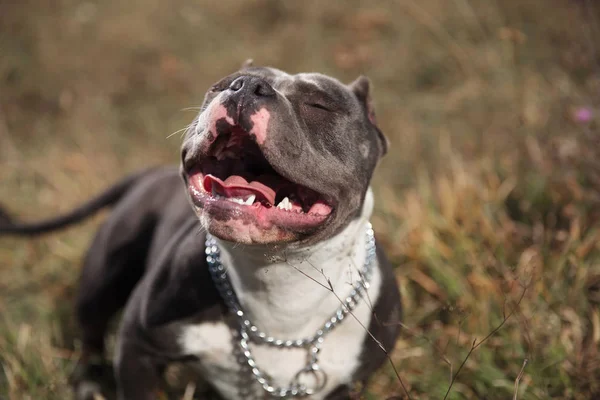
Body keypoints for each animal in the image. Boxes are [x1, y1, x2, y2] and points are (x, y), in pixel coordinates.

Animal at [1, 64, 404, 398]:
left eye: (320, 105)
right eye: (220, 86)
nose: (247, 86)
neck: (277, 284)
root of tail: (150, 174)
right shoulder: (137, 347)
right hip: (103, 275)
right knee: (90, 331)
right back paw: (89, 384)